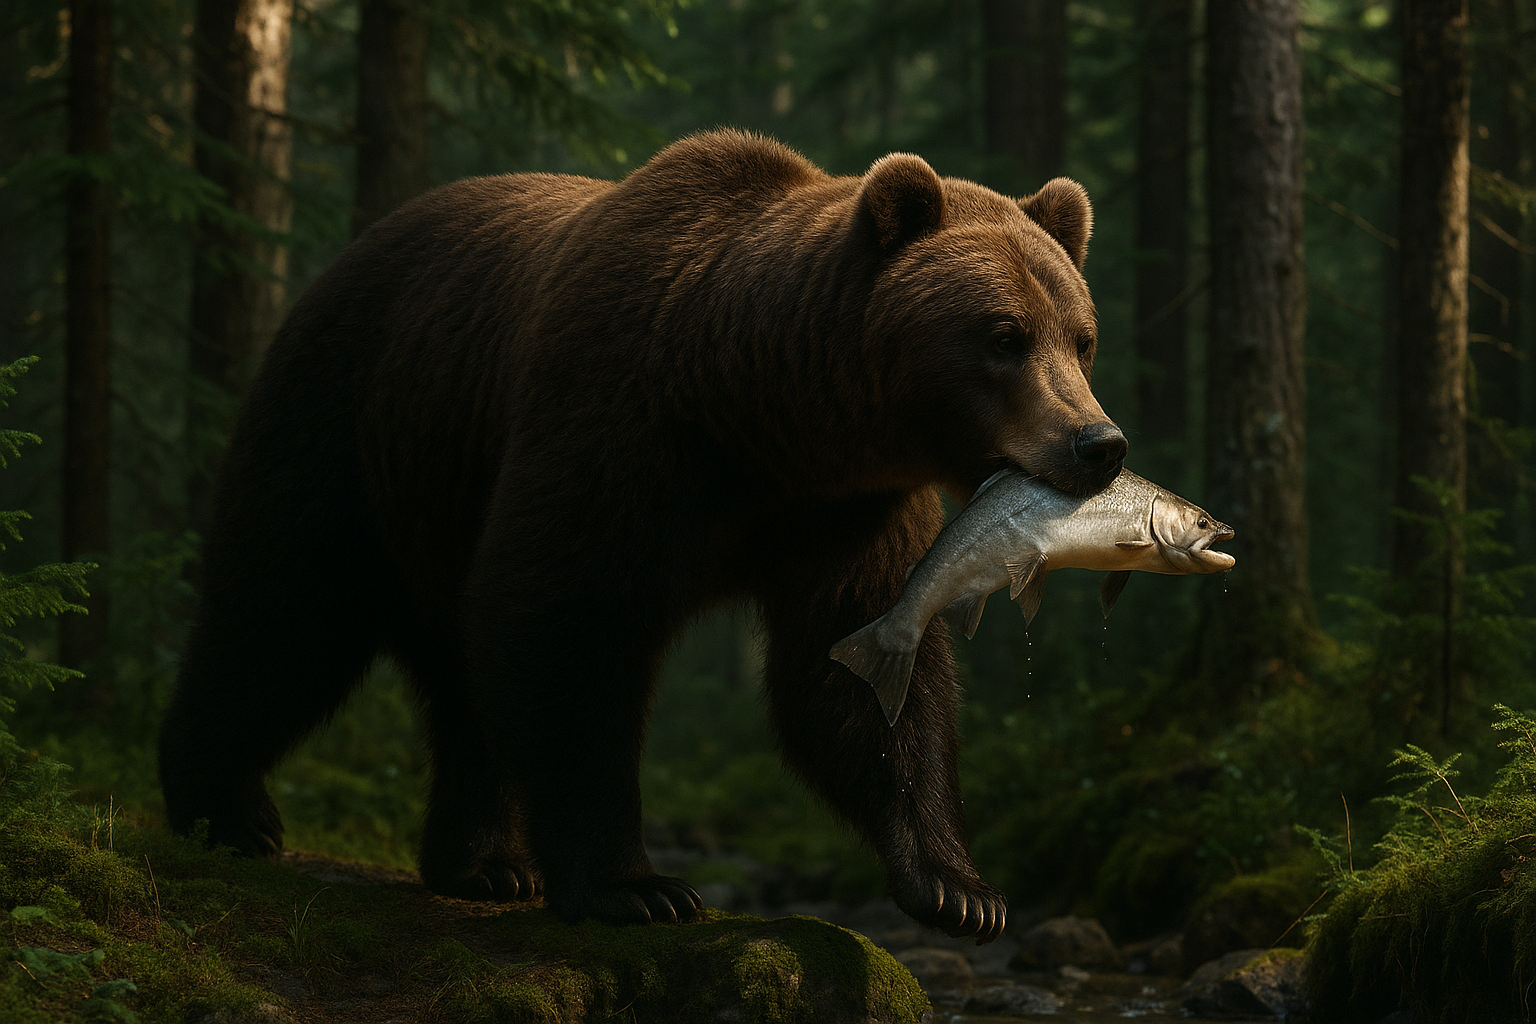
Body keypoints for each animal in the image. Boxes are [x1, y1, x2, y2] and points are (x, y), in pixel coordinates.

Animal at [158, 130, 1126, 943]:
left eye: (1081, 338)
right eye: (1003, 335)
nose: (1098, 444)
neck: (763, 417)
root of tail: (340, 260)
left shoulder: (850, 511)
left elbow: (860, 669)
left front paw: (960, 888)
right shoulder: (622, 427)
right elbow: (570, 626)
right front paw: (637, 887)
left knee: (454, 679)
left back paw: (485, 864)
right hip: (352, 431)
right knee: (283, 613)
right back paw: (223, 810)